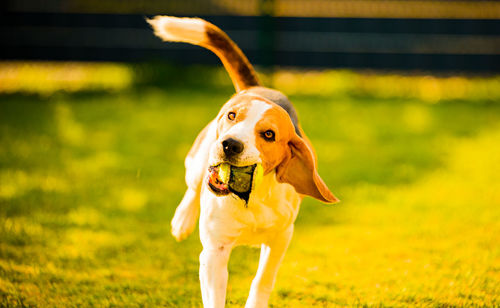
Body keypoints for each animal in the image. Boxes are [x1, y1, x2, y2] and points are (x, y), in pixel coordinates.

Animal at [146, 16, 338, 308]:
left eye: (269, 134)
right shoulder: (214, 252)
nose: (230, 144)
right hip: (200, 156)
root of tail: (257, 87)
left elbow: (262, 280)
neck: (250, 198)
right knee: (193, 186)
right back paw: (182, 220)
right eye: (232, 116)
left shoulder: (281, 238)